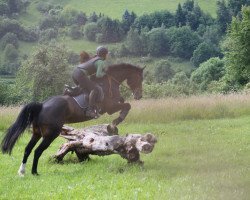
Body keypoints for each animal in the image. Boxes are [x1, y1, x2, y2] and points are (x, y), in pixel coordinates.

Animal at [0, 63, 145, 176]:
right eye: (139, 78)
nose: (139, 96)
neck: (108, 82)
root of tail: (42, 106)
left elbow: (124, 102)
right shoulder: (109, 107)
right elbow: (127, 106)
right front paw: (116, 122)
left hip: (37, 133)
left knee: (27, 149)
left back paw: (22, 172)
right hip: (50, 134)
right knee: (37, 150)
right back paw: (34, 172)